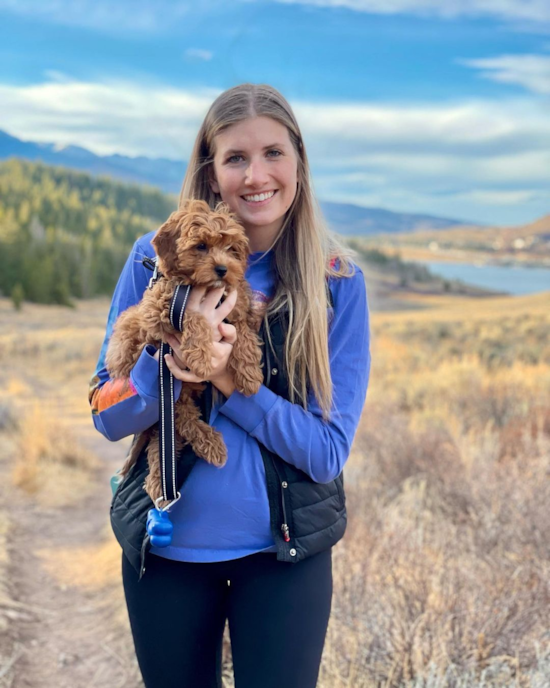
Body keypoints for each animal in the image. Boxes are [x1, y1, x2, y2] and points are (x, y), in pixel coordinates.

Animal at [106, 199, 268, 506]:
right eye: (201, 246)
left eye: (231, 248)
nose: (223, 269)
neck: (199, 284)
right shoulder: (159, 308)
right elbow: (193, 316)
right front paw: (203, 357)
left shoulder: (237, 307)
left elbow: (244, 334)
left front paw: (250, 374)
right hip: (169, 388)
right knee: (180, 422)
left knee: (167, 437)